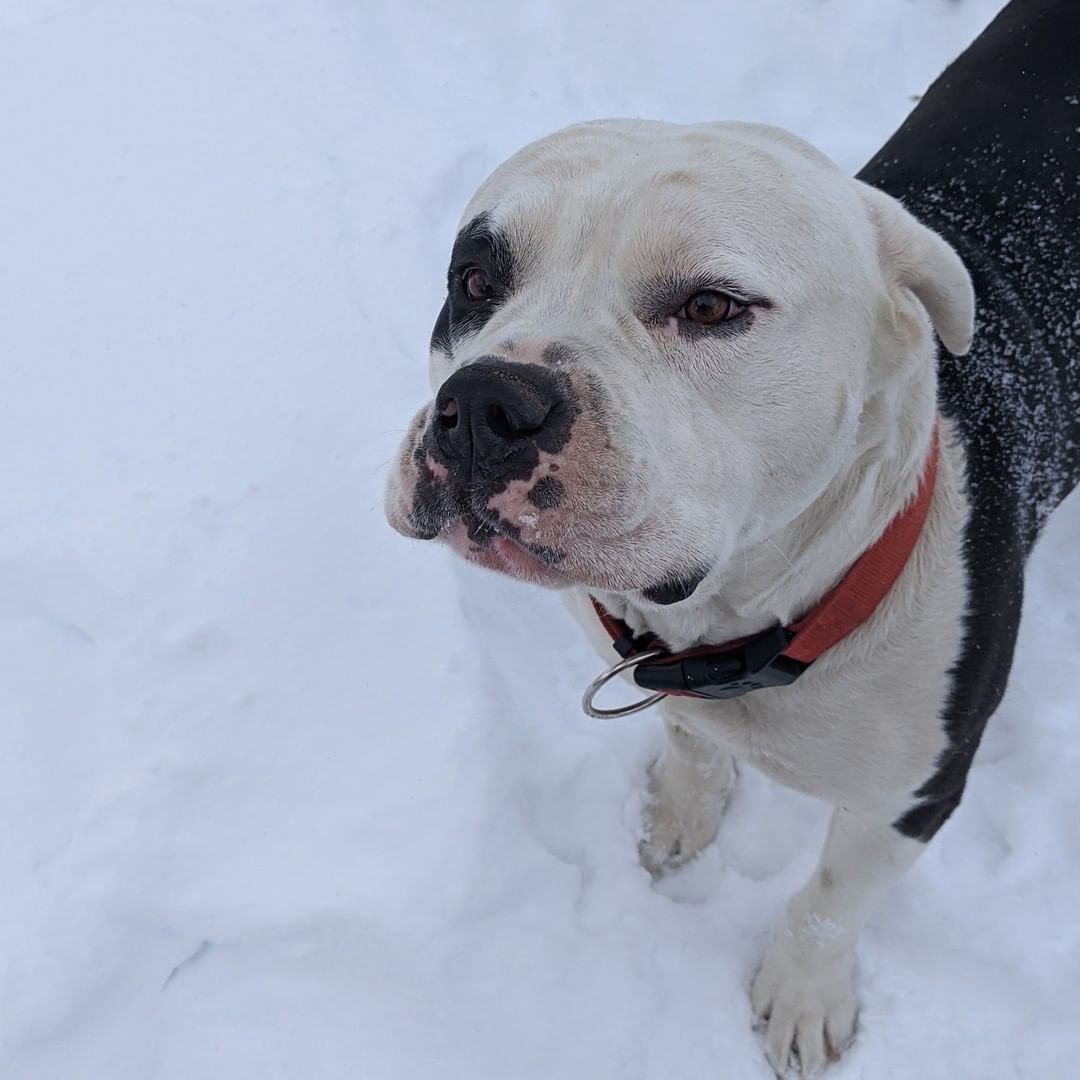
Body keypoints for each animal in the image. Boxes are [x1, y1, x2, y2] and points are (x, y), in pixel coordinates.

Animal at [384, 2, 1075, 1071]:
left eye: (712, 306)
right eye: (475, 278)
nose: (486, 403)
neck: (759, 616)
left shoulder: (911, 796)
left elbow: (830, 901)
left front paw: (801, 994)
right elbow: (691, 742)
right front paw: (680, 811)